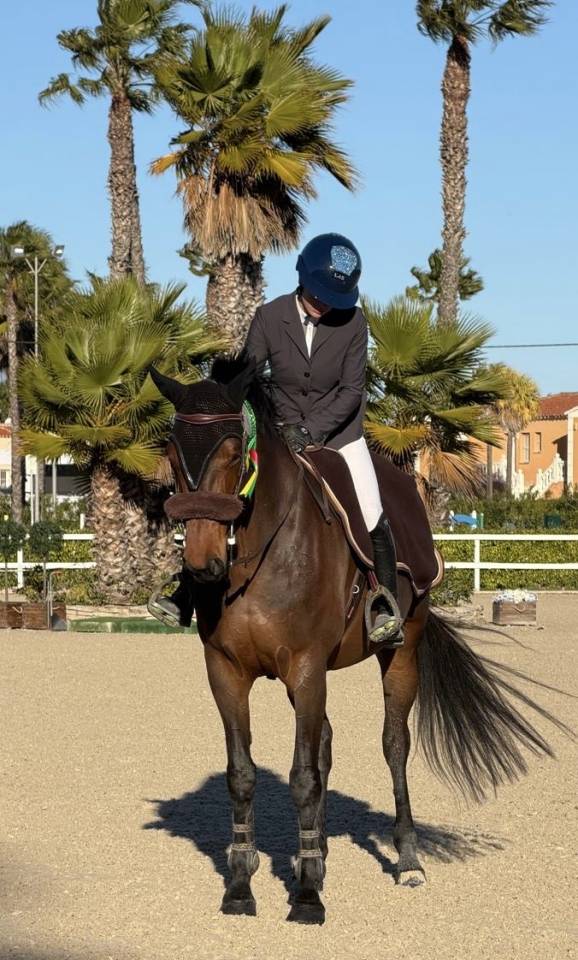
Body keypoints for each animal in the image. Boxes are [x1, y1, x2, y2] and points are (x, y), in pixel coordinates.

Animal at [150, 361, 563, 926]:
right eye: (171, 451)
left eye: (235, 451)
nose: (202, 564)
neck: (260, 552)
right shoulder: (227, 672)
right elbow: (243, 774)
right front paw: (242, 885)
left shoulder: (305, 667)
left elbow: (302, 776)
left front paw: (307, 897)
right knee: (325, 743)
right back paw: (319, 853)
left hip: (400, 653)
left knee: (394, 746)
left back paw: (407, 860)